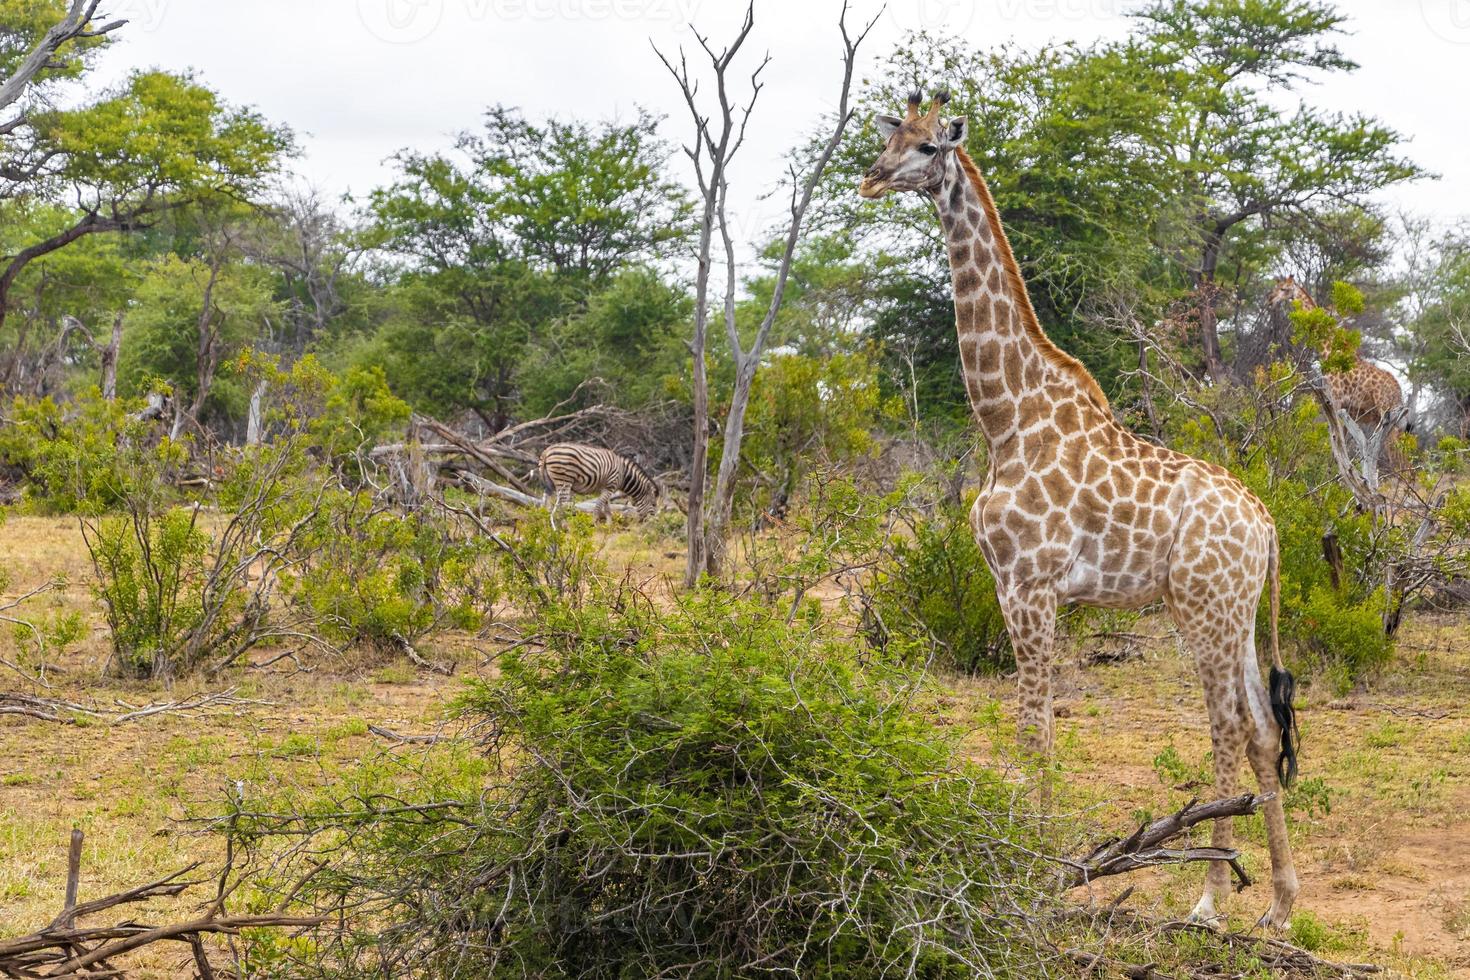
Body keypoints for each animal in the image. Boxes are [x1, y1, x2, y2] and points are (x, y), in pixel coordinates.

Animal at [858, 95, 1299, 934]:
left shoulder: (1028, 585)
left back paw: (1207, 901)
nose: (868, 179)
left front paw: (1032, 871)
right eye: (890, 138)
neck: (1005, 415)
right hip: (1236, 610)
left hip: (1202, 608)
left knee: (1228, 724)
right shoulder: (1023, 589)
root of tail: (1266, 524)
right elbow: (1042, 726)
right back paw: (1282, 903)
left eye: (928, 148)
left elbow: (1034, 730)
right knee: (1264, 729)